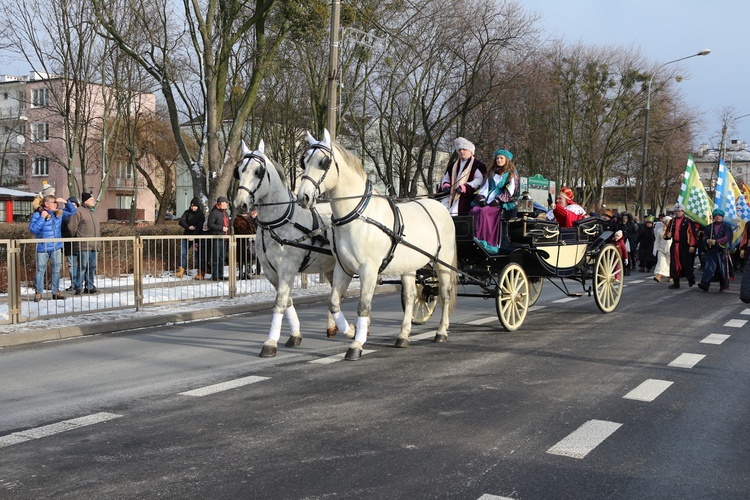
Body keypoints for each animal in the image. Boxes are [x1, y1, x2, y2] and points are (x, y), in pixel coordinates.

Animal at [234, 139, 354, 358]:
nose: (241, 203)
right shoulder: (271, 272)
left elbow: (280, 303)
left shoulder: (287, 269)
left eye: (258, 171)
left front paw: (270, 343)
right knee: (337, 294)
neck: (278, 222)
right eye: (238, 171)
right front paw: (295, 335)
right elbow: (287, 301)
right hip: (333, 267)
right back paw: (333, 327)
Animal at [300, 129, 458, 360]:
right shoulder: (343, 268)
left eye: (323, 162)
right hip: (409, 267)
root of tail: (440, 206)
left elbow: (363, 306)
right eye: (303, 161)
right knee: (410, 296)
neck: (358, 215)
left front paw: (356, 345)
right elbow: (334, 303)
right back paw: (403, 336)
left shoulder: (369, 270)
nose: (302, 196)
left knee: (445, 294)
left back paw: (441, 332)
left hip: (442, 262)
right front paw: (352, 330)